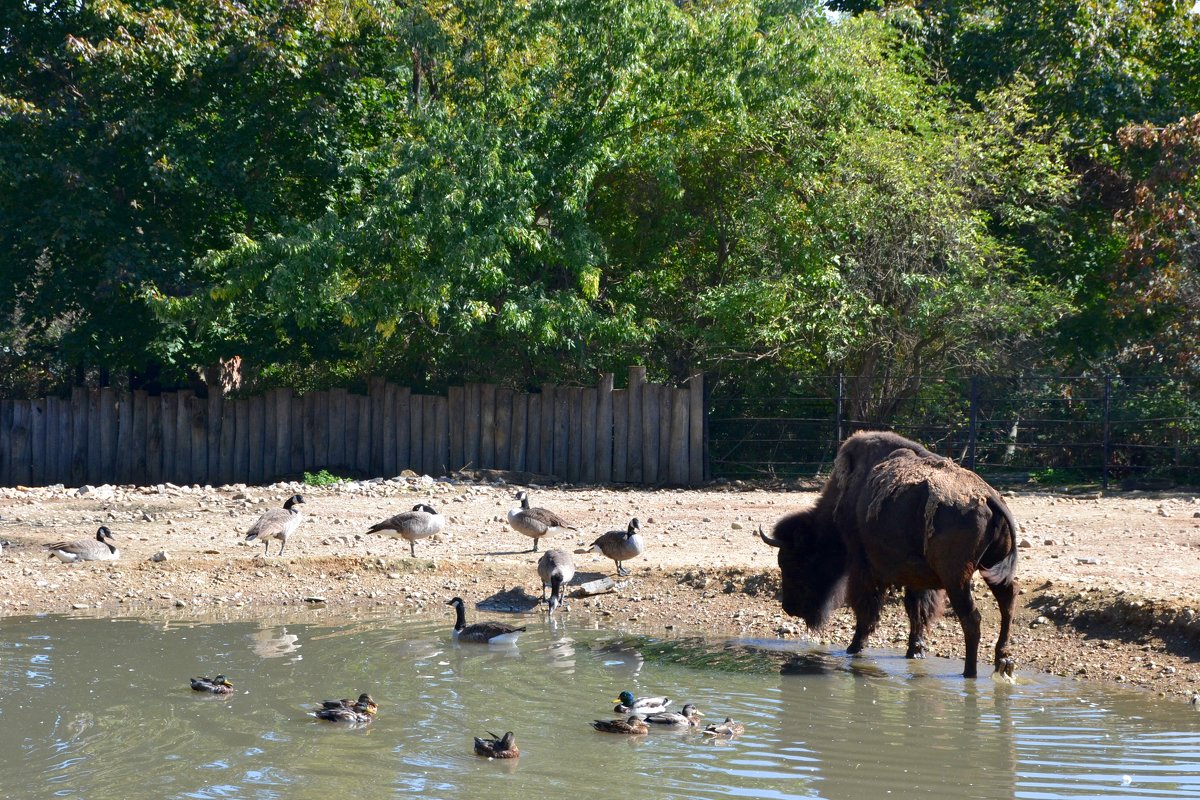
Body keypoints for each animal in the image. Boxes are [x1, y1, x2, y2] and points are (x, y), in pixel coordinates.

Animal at [758, 434, 1012, 681]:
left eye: (793, 563)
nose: (789, 607)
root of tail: (990, 497)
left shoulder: (863, 568)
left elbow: (867, 608)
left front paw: (854, 647)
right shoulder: (917, 578)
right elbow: (917, 611)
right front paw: (914, 651)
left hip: (956, 579)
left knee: (972, 618)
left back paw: (970, 672)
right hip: (993, 570)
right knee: (1006, 605)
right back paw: (1003, 663)